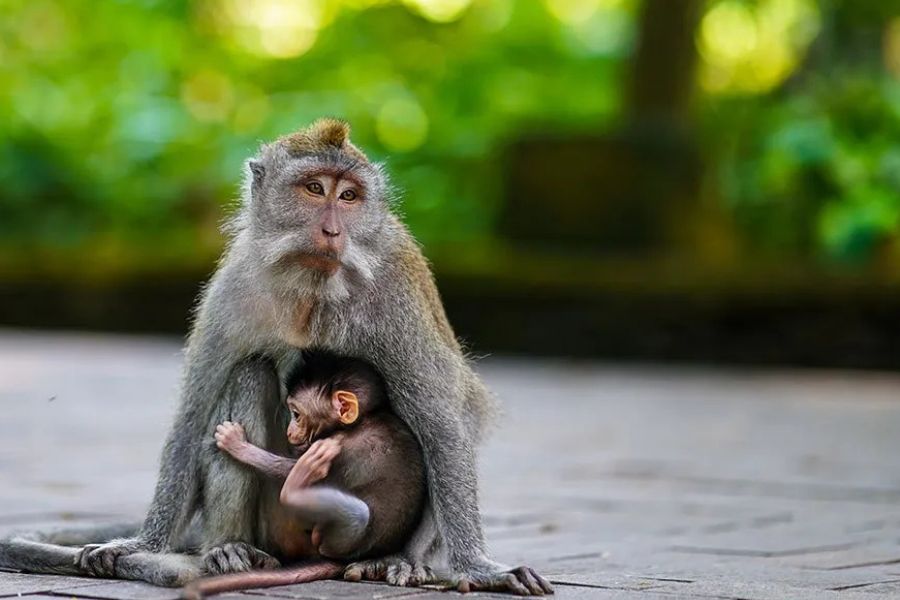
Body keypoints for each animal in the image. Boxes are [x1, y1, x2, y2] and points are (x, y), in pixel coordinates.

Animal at [180, 350, 426, 599]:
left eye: (296, 414)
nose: (290, 431)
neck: (363, 420)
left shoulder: (340, 447)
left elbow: (288, 469)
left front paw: (236, 444)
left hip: (337, 539)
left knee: (358, 514)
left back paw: (295, 488)